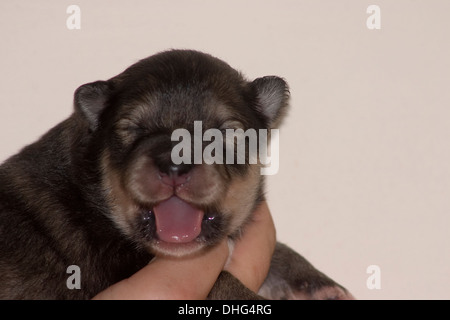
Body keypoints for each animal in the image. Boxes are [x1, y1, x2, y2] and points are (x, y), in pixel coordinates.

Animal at [0, 50, 354, 300]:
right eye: (134, 129)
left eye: (225, 133)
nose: (174, 164)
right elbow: (225, 282)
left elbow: (280, 249)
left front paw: (318, 285)